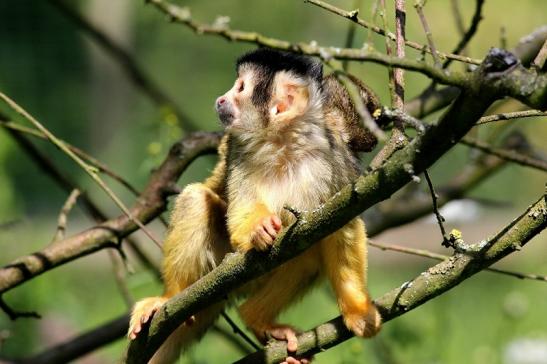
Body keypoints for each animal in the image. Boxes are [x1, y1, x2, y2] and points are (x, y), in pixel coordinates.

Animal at [131, 49, 384, 364]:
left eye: (240, 88)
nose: (221, 99)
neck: (283, 142)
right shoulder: (239, 148)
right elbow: (240, 213)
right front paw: (258, 229)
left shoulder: (336, 160)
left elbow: (343, 226)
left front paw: (358, 312)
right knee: (196, 199)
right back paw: (169, 298)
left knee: (308, 248)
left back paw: (256, 318)